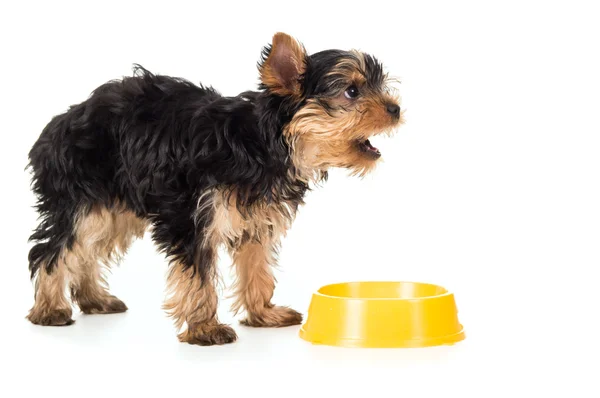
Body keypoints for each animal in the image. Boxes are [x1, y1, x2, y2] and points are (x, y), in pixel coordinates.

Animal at [27, 32, 404, 344]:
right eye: (352, 91)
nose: (396, 108)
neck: (263, 143)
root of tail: (60, 123)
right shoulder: (191, 216)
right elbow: (199, 275)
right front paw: (205, 328)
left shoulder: (257, 219)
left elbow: (256, 266)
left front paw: (263, 313)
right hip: (81, 197)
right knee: (55, 248)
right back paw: (50, 309)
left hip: (115, 205)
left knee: (87, 248)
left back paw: (94, 298)